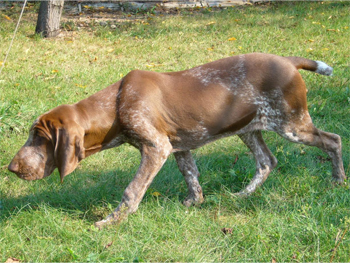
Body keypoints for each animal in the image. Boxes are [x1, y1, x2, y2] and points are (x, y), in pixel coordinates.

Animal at [6, 53, 346, 229]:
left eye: (38, 137)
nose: (11, 167)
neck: (115, 103)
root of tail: (287, 60)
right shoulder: (180, 147)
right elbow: (192, 178)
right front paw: (194, 203)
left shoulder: (157, 148)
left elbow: (132, 191)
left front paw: (113, 220)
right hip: (249, 128)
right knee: (266, 162)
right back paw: (242, 195)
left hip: (292, 125)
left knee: (333, 140)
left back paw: (338, 182)